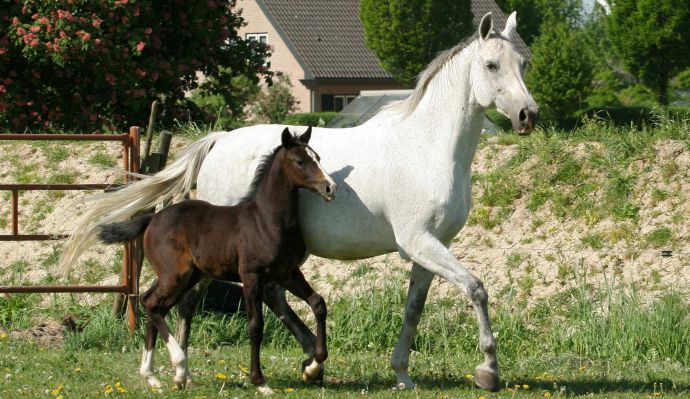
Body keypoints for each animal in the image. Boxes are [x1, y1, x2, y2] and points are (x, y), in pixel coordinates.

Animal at [98, 127, 334, 394]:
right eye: (300, 161)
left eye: (318, 157)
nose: (329, 187)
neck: (267, 220)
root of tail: (152, 218)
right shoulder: (251, 276)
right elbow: (255, 325)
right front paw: (260, 381)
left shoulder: (288, 273)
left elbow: (318, 303)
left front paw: (313, 366)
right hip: (175, 274)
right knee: (152, 304)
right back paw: (178, 366)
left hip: (187, 276)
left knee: (155, 304)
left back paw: (154, 375)